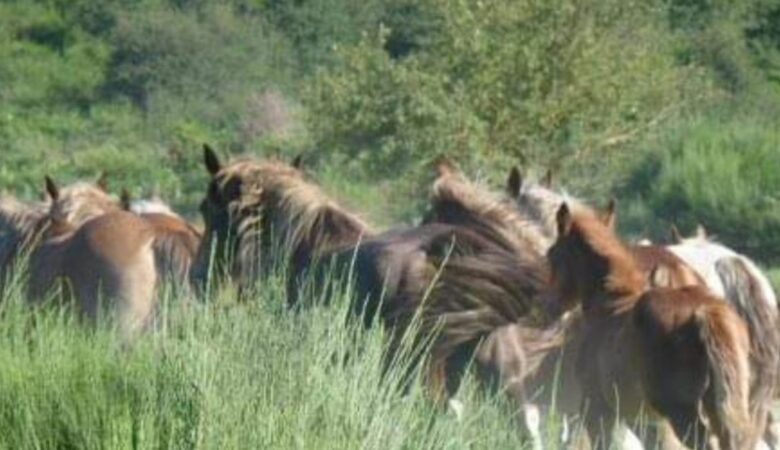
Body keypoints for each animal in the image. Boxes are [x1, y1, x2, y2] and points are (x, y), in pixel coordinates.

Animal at [548, 201, 756, 450]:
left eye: (551, 255)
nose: (552, 305)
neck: (610, 303)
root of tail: (704, 312)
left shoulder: (598, 407)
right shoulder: (645, 419)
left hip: (681, 411)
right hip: (720, 406)